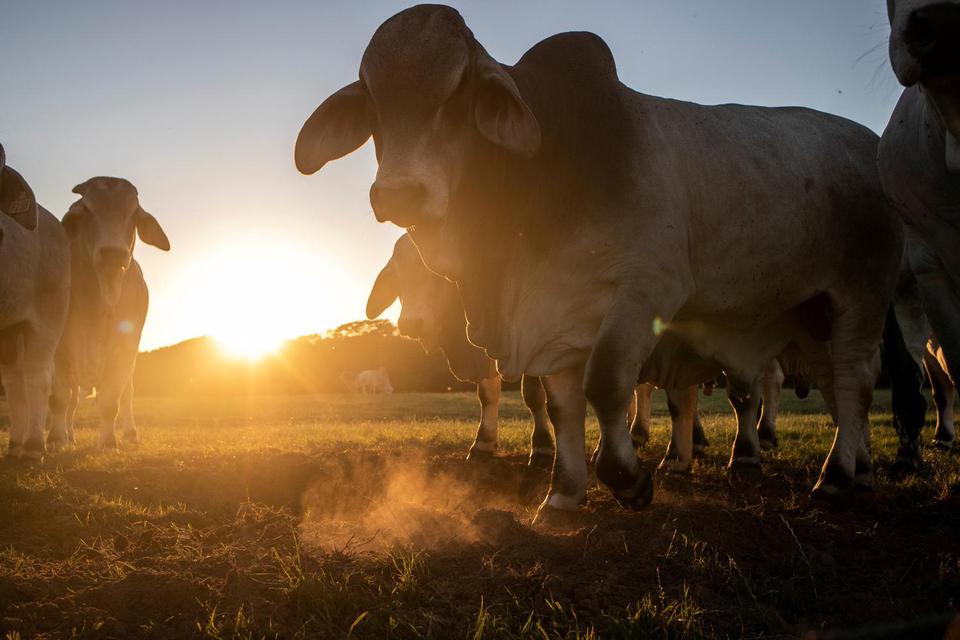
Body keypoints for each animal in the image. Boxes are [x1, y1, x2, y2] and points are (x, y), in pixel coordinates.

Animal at [47, 178, 169, 452]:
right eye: (87, 210)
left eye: (133, 213)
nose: (114, 253)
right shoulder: (58, 347)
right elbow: (59, 398)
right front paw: (57, 439)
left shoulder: (125, 346)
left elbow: (111, 400)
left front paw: (108, 441)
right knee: (71, 401)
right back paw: (69, 435)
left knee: (127, 394)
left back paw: (130, 432)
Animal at [364, 232, 556, 462]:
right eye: (397, 275)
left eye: (435, 272)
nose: (410, 323)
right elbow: (487, 395)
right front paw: (483, 443)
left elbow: (533, 394)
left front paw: (542, 446)